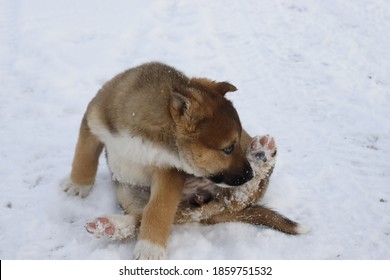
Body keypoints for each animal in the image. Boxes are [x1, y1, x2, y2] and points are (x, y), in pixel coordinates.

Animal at [62, 62, 254, 260]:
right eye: (228, 149)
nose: (250, 175)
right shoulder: (92, 120)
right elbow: (84, 155)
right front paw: (78, 185)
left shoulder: (168, 171)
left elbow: (158, 208)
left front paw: (150, 248)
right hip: (127, 191)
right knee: (140, 216)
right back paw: (110, 226)